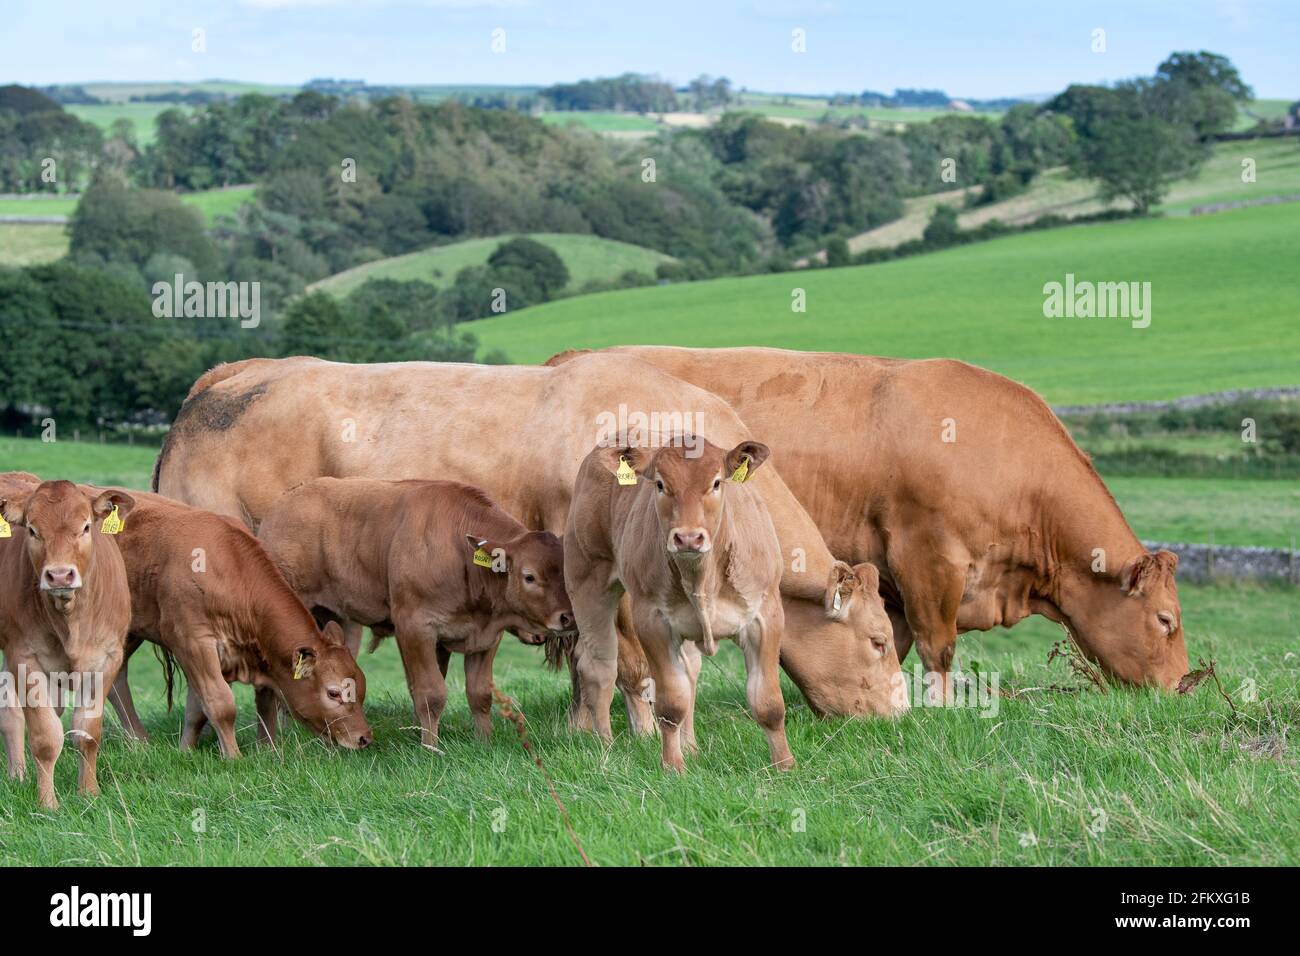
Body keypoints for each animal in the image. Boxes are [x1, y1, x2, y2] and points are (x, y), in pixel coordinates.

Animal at [0, 480, 134, 809]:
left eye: (85, 527)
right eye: (32, 530)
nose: (59, 575)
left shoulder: (107, 658)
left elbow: (88, 732)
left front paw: (89, 792)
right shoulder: (24, 657)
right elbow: (46, 737)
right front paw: (47, 802)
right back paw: (18, 776)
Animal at [257, 477, 574, 749]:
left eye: (566, 569)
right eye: (529, 576)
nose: (568, 617)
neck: (457, 552)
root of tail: (281, 504)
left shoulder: (485, 636)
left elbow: (479, 693)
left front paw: (483, 741)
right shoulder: (415, 627)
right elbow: (430, 693)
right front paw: (430, 747)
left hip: (341, 622)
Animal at [553, 346, 1191, 691]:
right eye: (1165, 621)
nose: (1185, 687)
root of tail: (572, 360)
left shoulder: (889, 577)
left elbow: (895, 640)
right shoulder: (927, 557)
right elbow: (939, 646)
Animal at [568, 438, 803, 770]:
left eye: (716, 482)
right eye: (660, 484)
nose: (688, 538)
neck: (703, 579)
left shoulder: (765, 616)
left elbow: (768, 702)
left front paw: (784, 765)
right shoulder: (653, 622)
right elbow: (671, 702)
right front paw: (672, 766)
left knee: (689, 671)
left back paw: (690, 746)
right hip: (587, 581)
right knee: (599, 667)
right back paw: (606, 746)